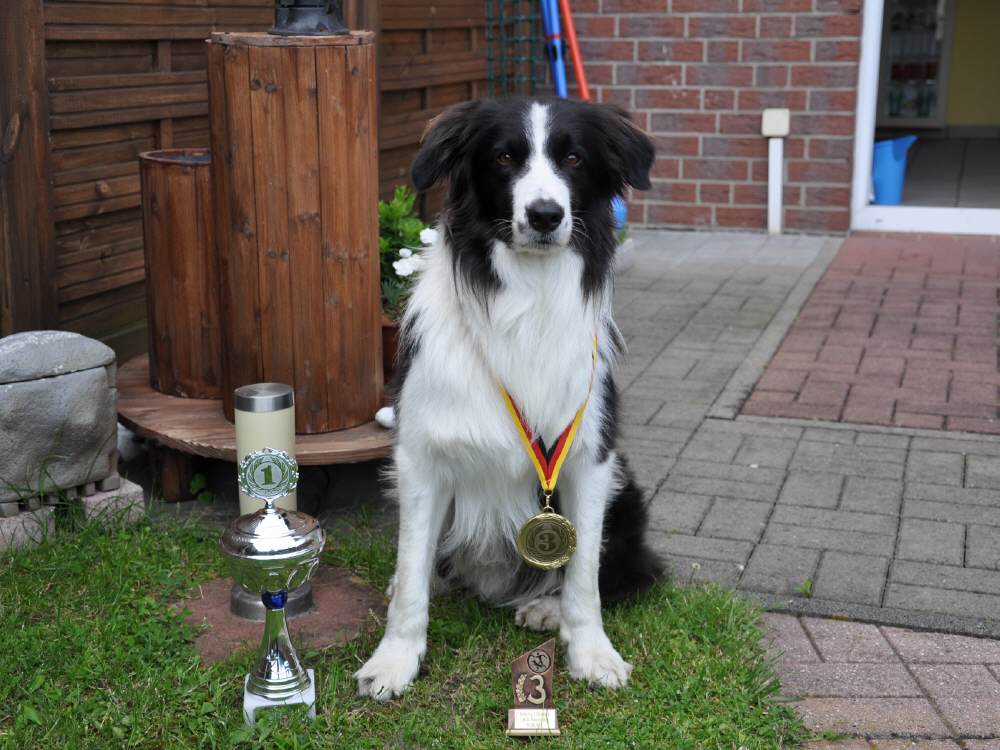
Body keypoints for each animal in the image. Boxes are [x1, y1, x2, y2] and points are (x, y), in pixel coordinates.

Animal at [356, 97, 662, 701]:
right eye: (503, 157)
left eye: (574, 158)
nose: (545, 215)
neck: (527, 299)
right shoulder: (419, 457)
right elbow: (411, 571)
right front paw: (394, 659)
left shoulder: (592, 459)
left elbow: (585, 574)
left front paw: (591, 652)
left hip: (626, 493)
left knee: (628, 572)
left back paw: (545, 607)